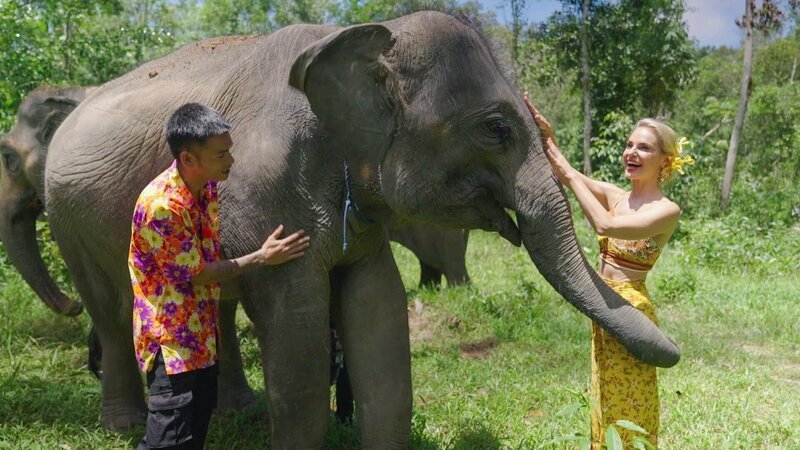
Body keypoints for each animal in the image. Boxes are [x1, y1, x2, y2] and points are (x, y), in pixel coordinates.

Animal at [45, 11, 679, 448]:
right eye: (496, 129)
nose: (673, 353)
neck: (357, 35)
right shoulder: (263, 195)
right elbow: (298, 346)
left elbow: (379, 316)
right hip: (65, 215)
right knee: (110, 307)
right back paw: (124, 423)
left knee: (213, 307)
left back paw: (236, 412)